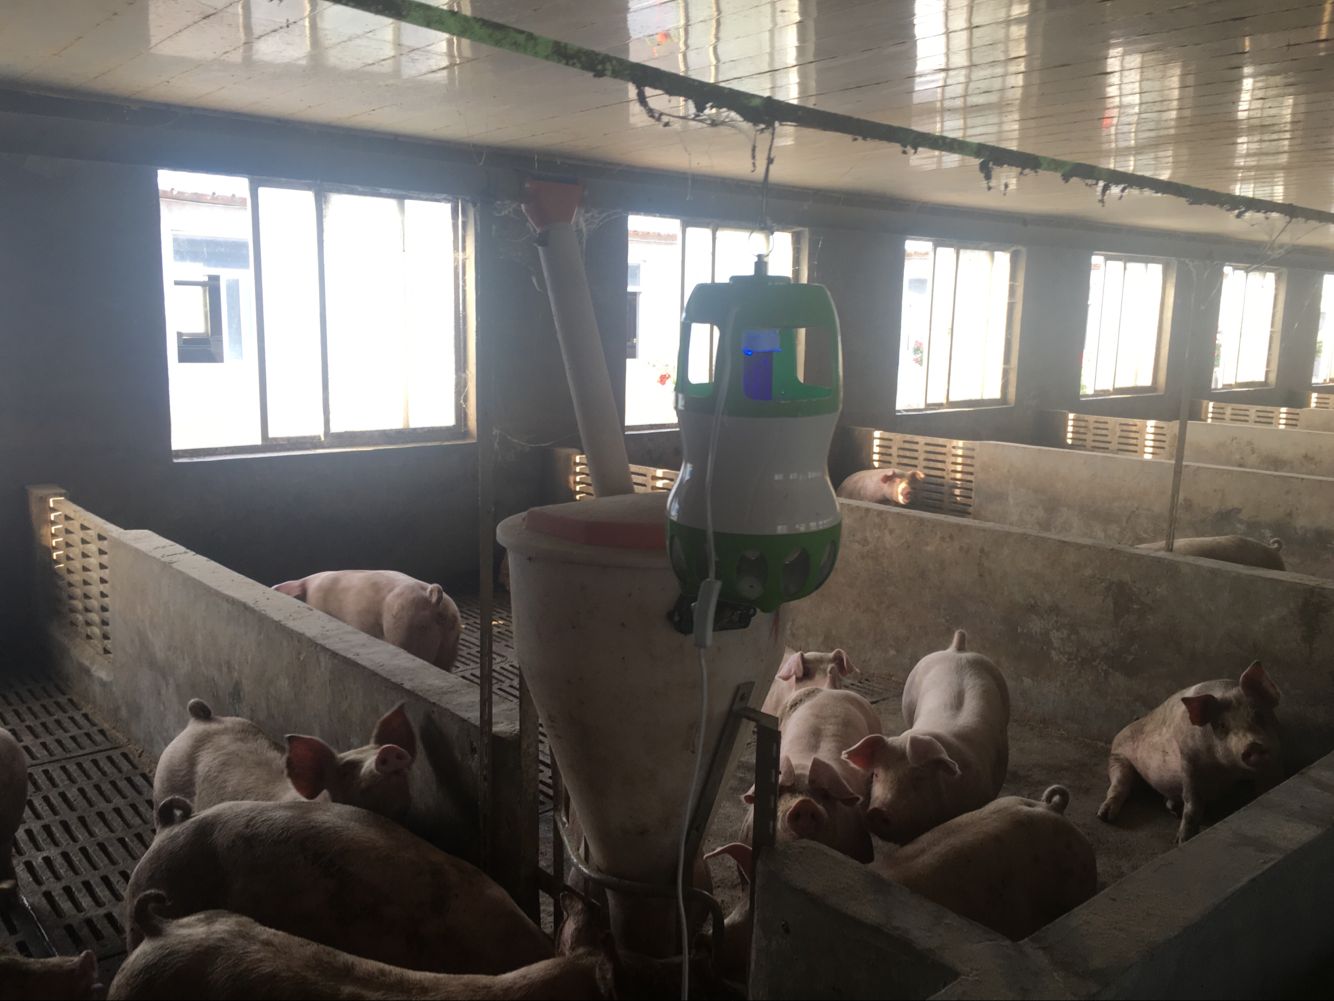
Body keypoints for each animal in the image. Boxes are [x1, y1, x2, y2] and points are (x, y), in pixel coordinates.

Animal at [1098, 660, 1282, 844]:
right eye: (1222, 725)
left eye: (1258, 714)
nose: (1253, 745)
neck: (1226, 771)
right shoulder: (1188, 759)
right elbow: (1192, 802)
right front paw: (1181, 841)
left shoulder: (1273, 759)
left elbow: (1268, 786)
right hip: (1117, 757)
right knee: (1119, 785)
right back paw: (1104, 817)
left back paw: (1173, 809)